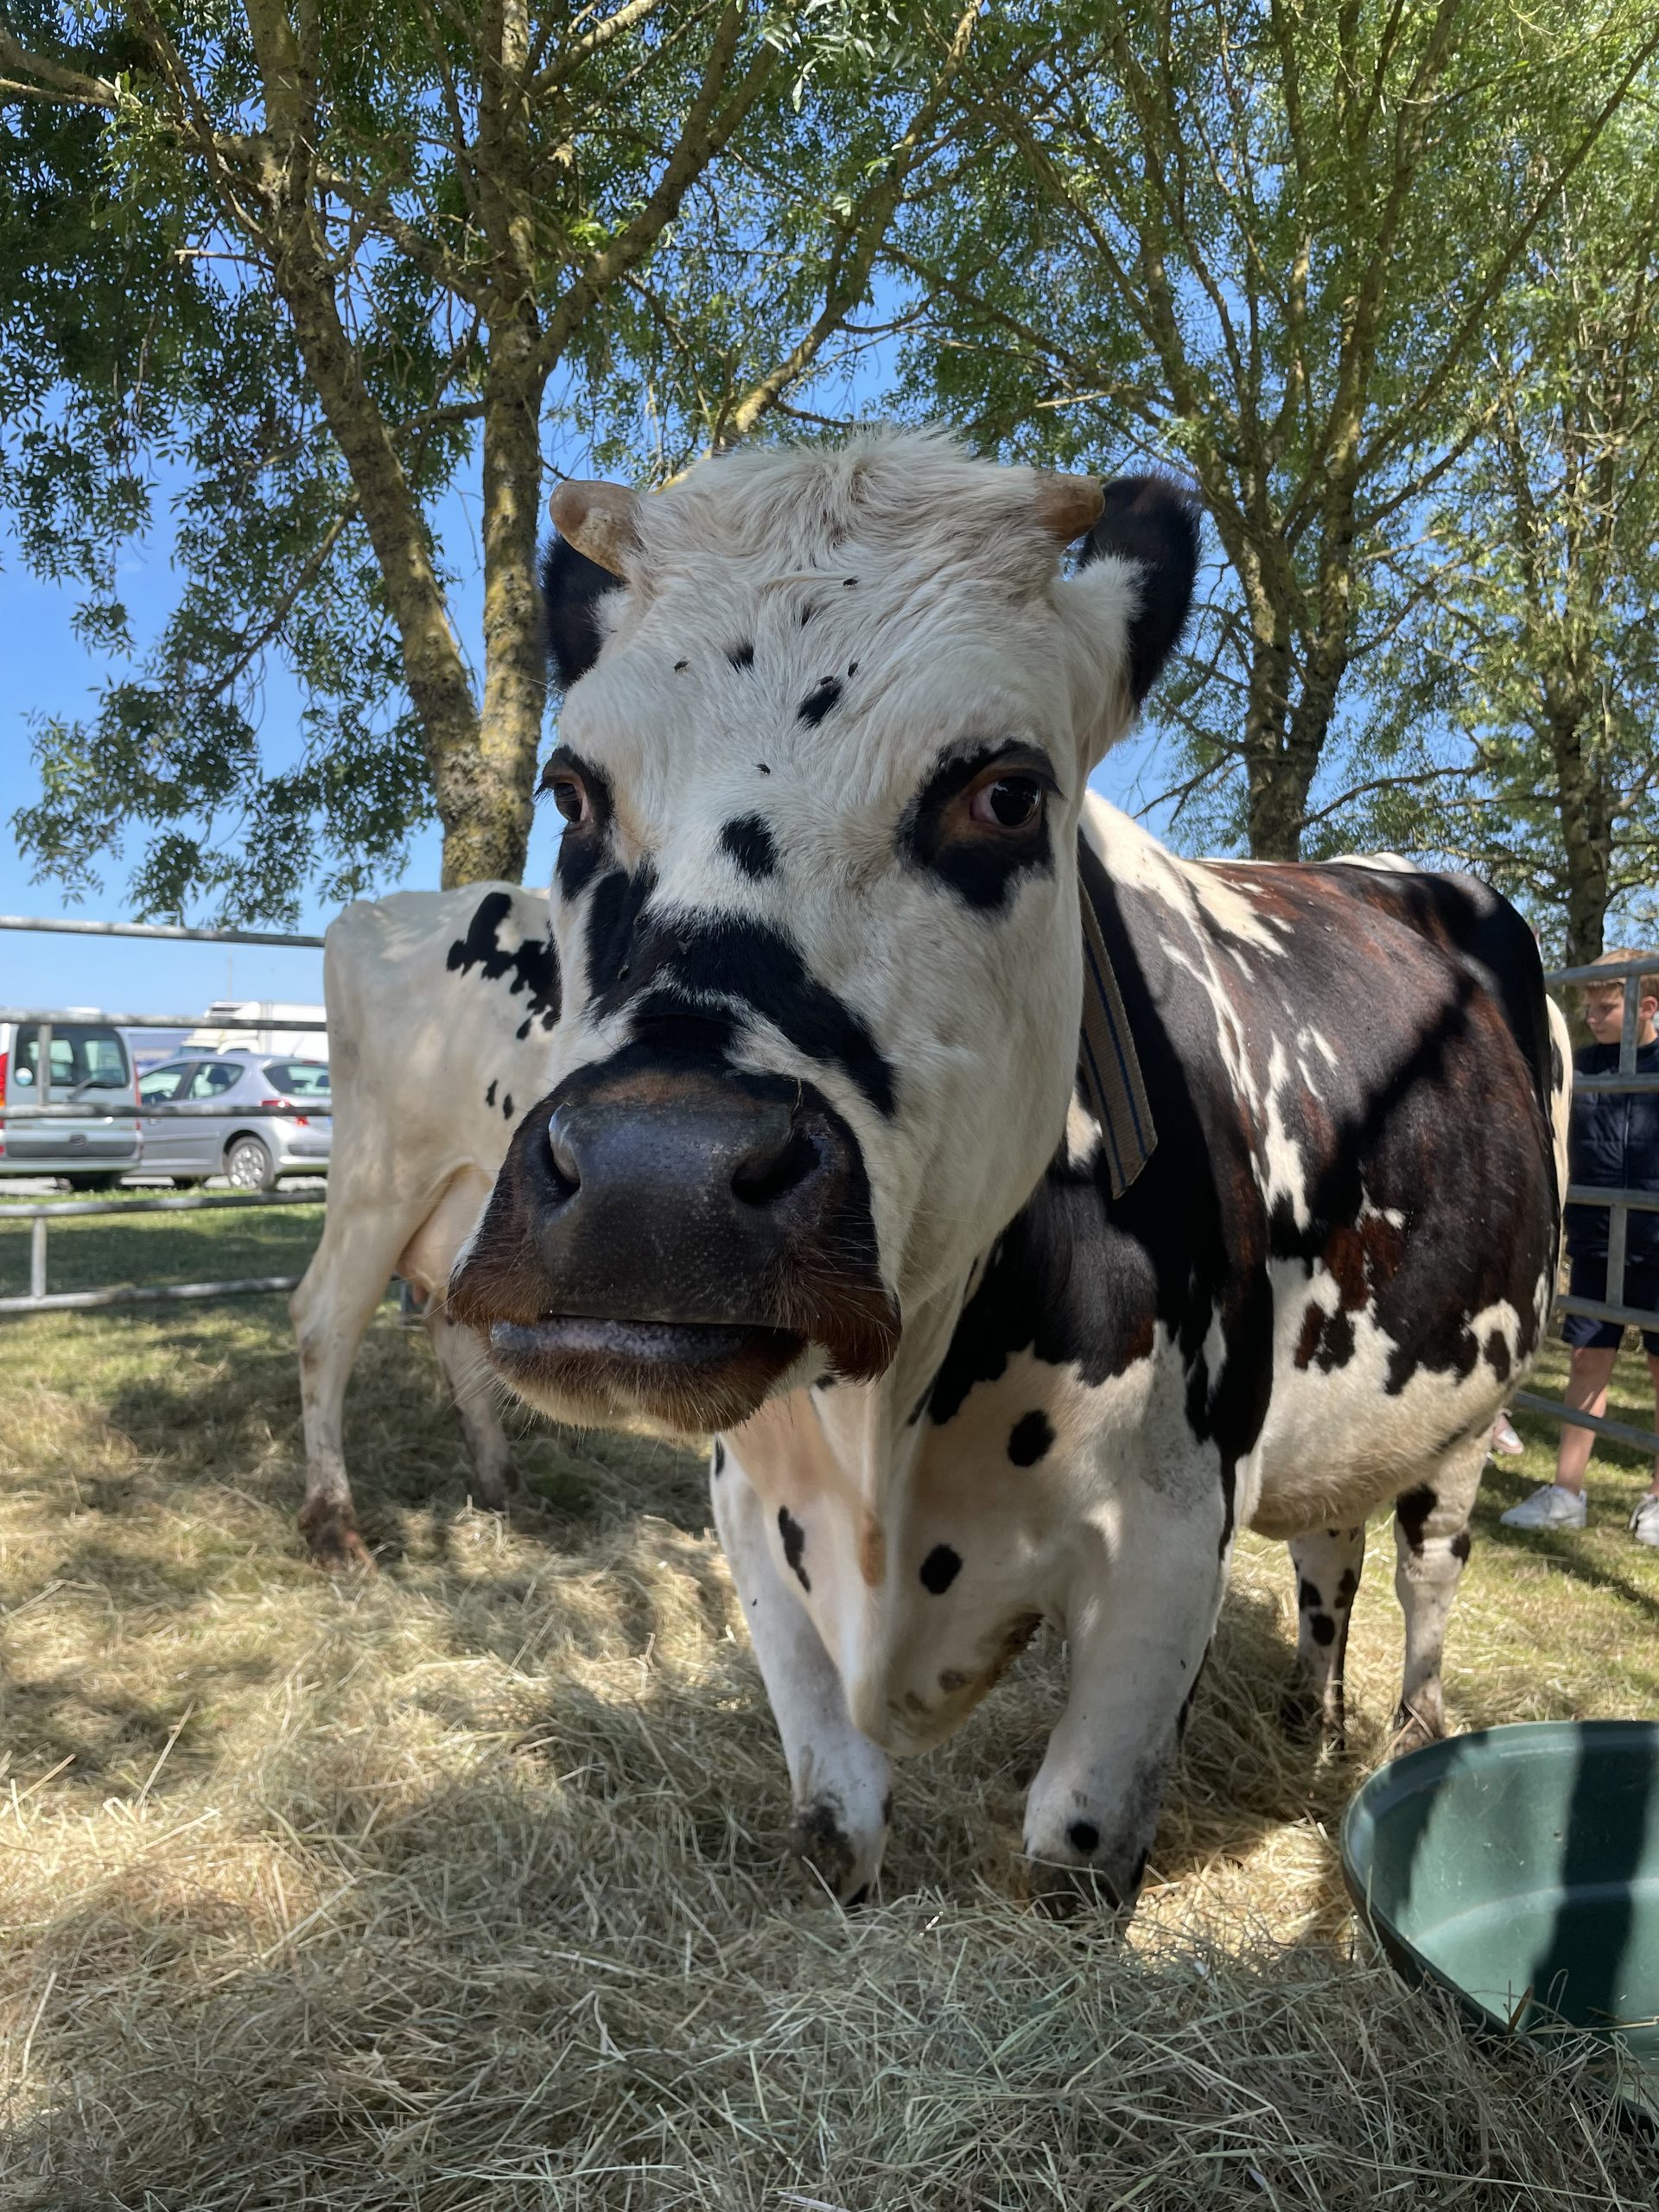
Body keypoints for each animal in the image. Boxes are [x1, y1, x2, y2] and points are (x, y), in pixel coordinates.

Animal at [289, 883, 559, 1565]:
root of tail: (371, 915)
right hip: (382, 1180)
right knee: (322, 1323)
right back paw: (333, 1522)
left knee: (454, 1327)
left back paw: (507, 1489)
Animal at [446, 428, 1570, 1913]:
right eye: (571, 791)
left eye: (1007, 791)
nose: (654, 1181)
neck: (886, 1445)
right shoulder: (752, 1518)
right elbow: (834, 1831)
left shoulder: (1169, 1542)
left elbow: (1071, 1853)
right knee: (1328, 1547)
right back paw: (1310, 1728)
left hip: (1468, 1411)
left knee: (1425, 1572)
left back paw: (1406, 1742)